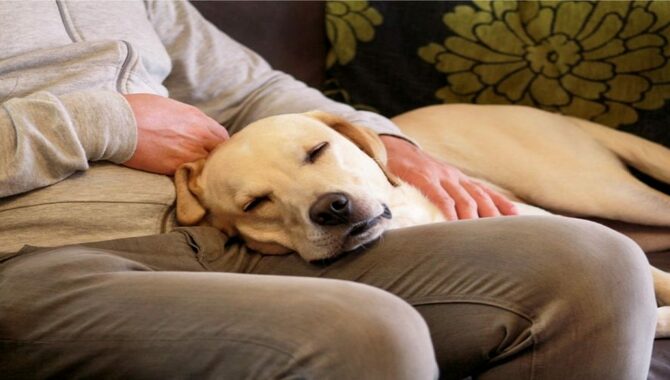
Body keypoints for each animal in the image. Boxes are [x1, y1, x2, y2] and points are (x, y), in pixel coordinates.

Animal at [176, 106, 670, 336]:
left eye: (317, 150)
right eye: (255, 203)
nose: (332, 207)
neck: (403, 219)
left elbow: (657, 279)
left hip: (589, 191)